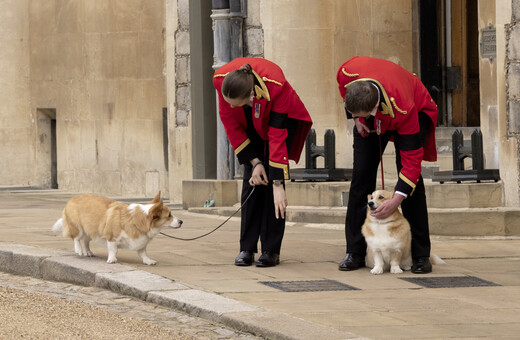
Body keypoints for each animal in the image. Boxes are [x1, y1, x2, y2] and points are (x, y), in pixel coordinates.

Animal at [52, 191, 183, 266]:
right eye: (169, 215)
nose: (181, 221)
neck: (137, 220)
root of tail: (71, 198)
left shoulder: (141, 242)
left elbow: (142, 253)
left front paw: (148, 261)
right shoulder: (112, 238)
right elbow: (113, 250)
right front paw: (112, 259)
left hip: (91, 229)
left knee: (85, 241)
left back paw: (88, 252)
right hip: (78, 227)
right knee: (76, 238)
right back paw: (78, 249)